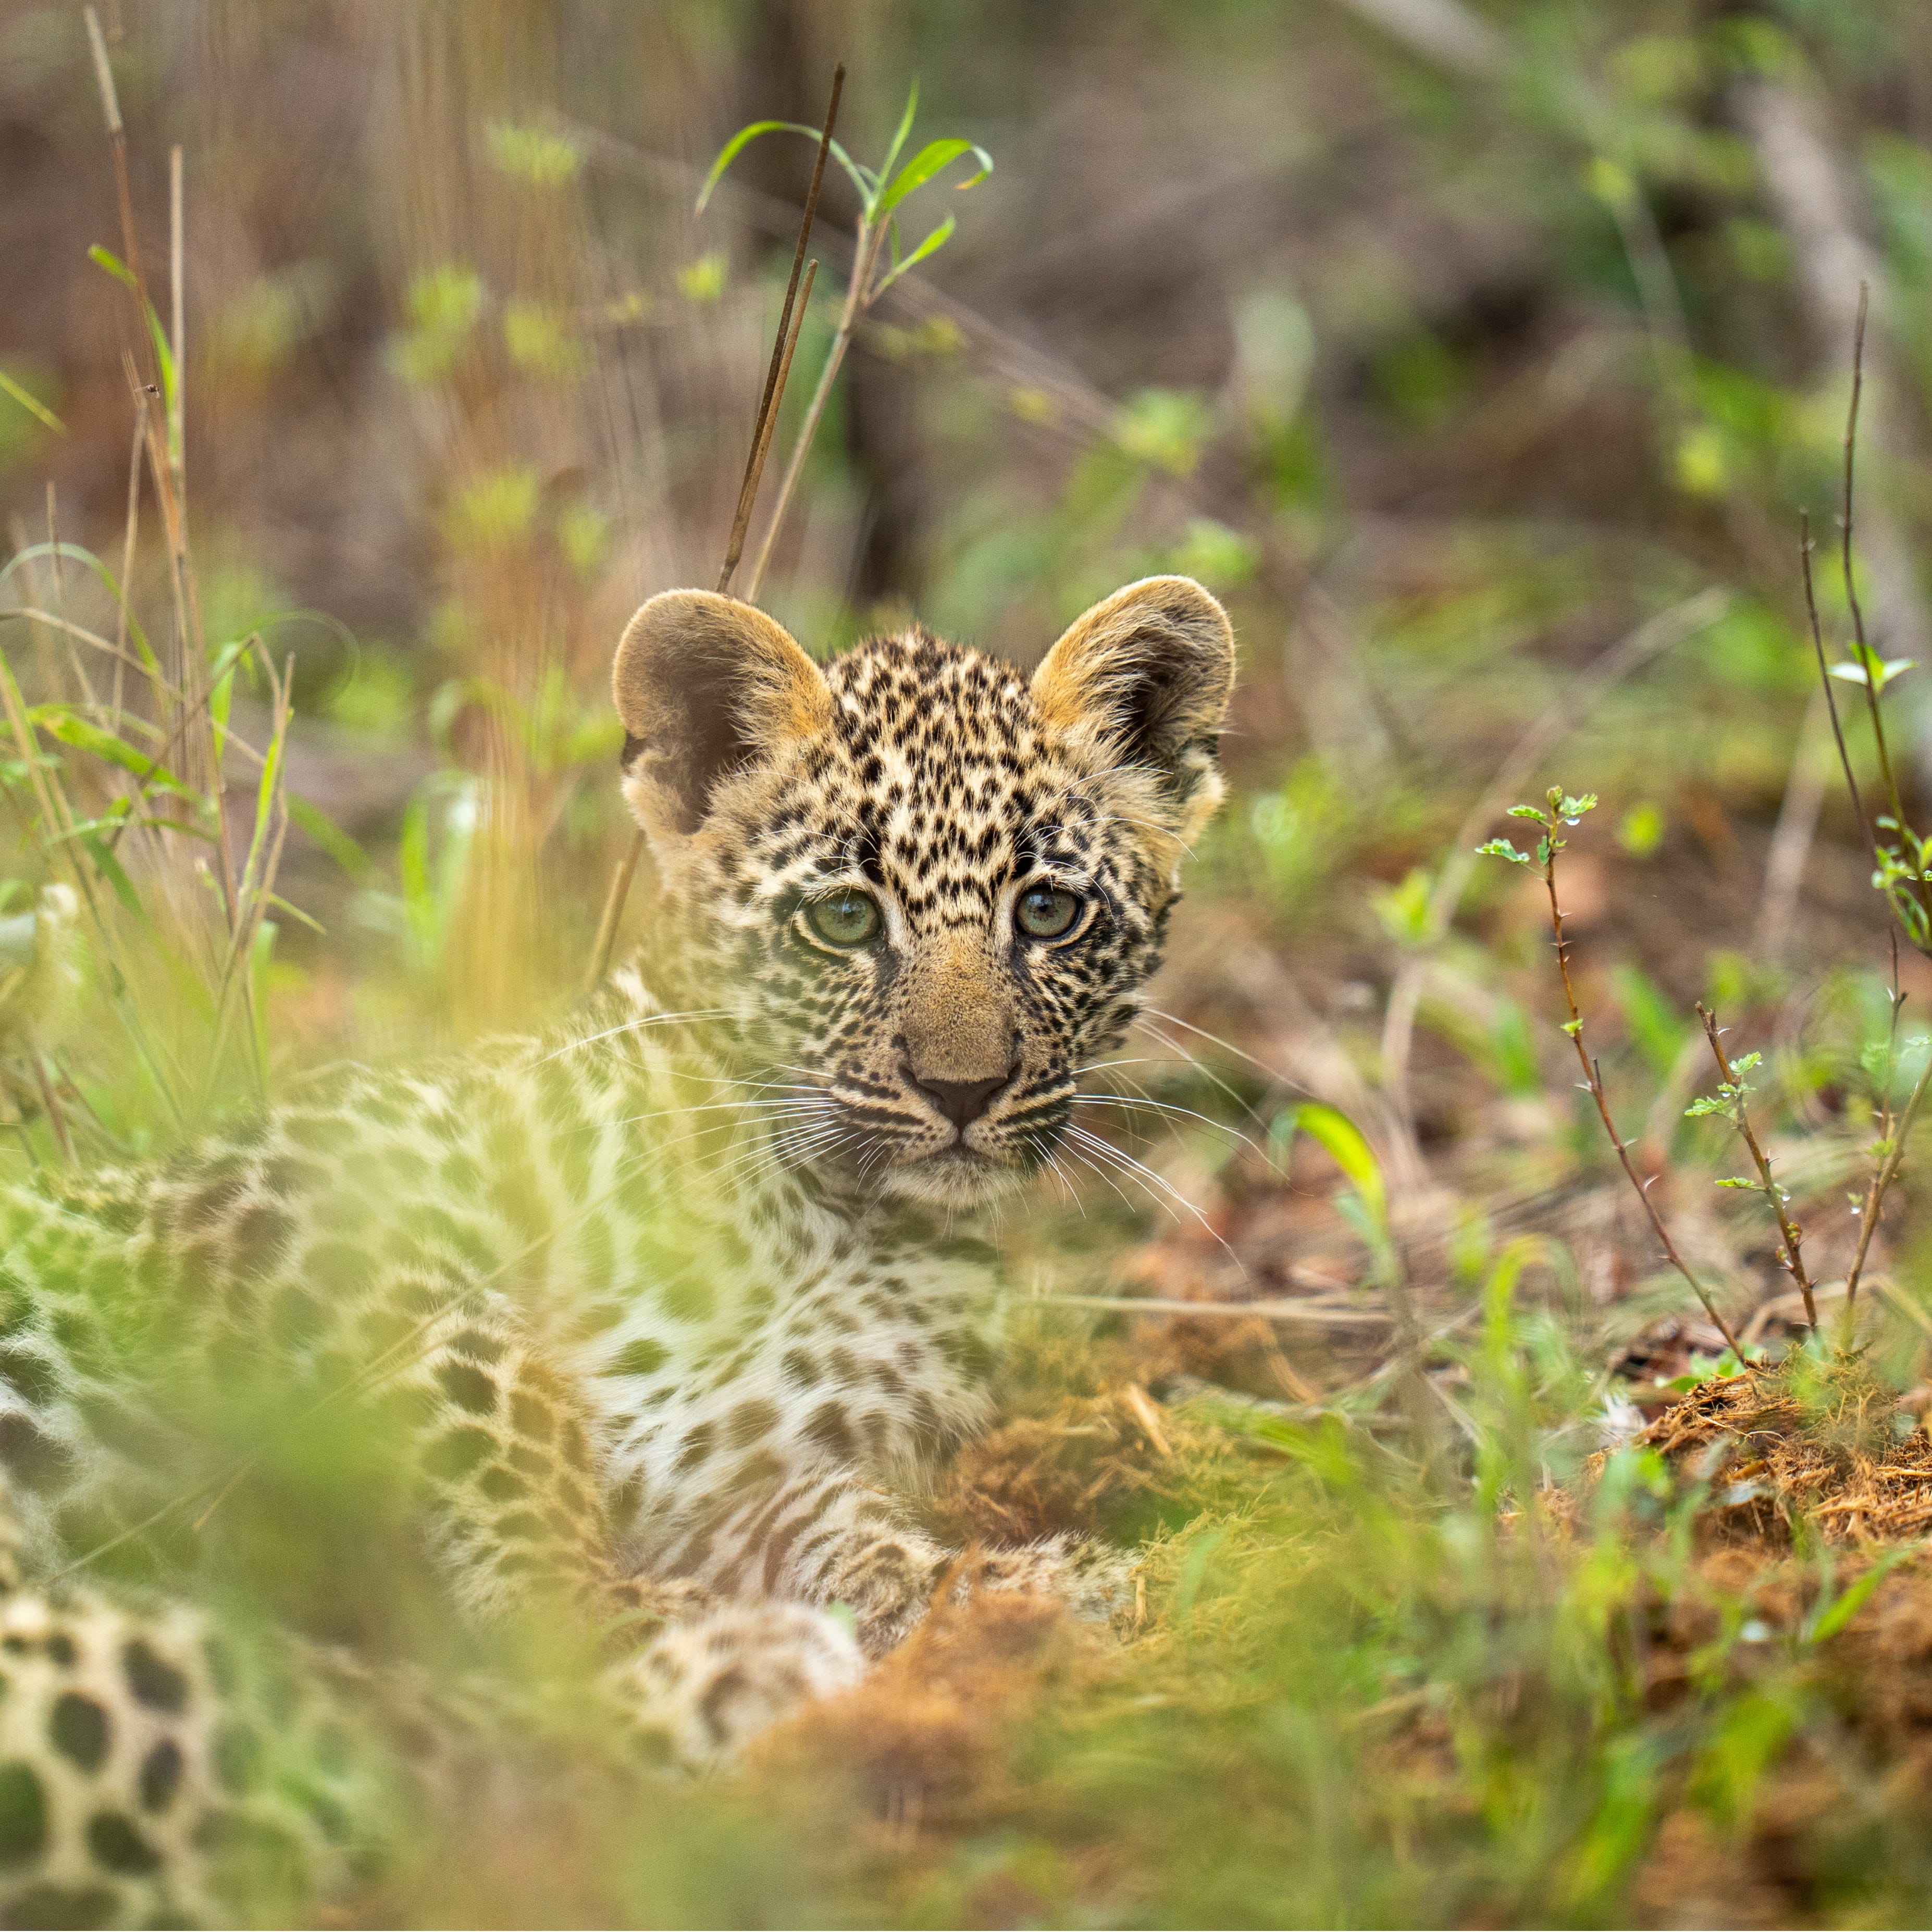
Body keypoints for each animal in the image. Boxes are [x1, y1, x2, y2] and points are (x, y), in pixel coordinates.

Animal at [0, 572, 1236, 1924]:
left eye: (1048, 911)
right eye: (843, 918)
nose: (961, 1090)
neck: (814, 1212)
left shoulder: (726, 1472)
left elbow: (846, 1529)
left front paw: (1009, 1587)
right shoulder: (312, 1208)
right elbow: (497, 1404)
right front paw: (585, 1605)